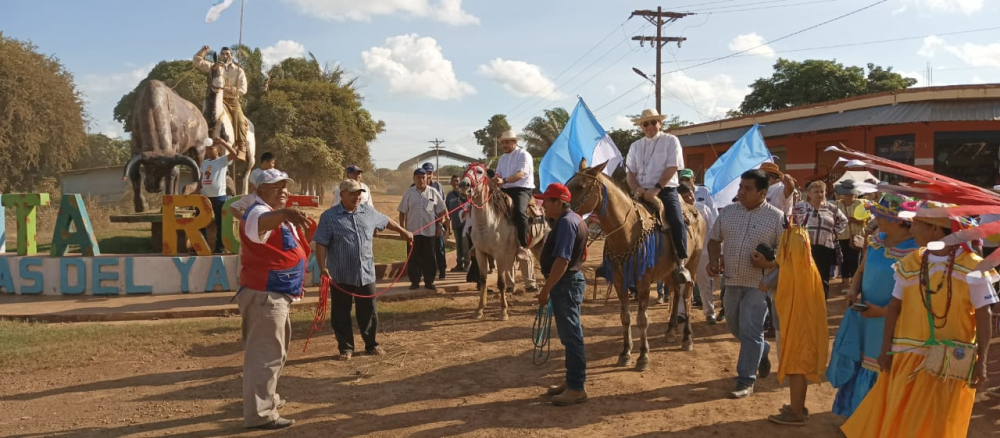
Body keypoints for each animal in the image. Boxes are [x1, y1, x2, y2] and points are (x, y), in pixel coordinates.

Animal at [205, 62, 254, 194]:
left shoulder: (226, 145)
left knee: (247, 173)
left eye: (223, 71)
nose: (218, 85)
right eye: (212, 71)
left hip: (251, 154)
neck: (215, 118)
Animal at [458, 163, 548, 320]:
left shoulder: (499, 254)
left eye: (480, 171)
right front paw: (480, 310)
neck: (488, 222)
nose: (464, 185)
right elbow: (483, 280)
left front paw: (503, 312)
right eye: (465, 170)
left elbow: (500, 282)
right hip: (534, 248)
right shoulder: (480, 253)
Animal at [568, 159, 708, 372]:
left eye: (580, 186)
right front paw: (625, 352)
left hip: (692, 266)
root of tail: (696, 212)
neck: (627, 232)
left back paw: (687, 338)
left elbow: (642, 320)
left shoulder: (642, 283)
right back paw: (670, 331)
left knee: (687, 298)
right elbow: (625, 317)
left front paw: (643, 356)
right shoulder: (620, 282)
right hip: (669, 272)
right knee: (676, 294)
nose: (553, 215)